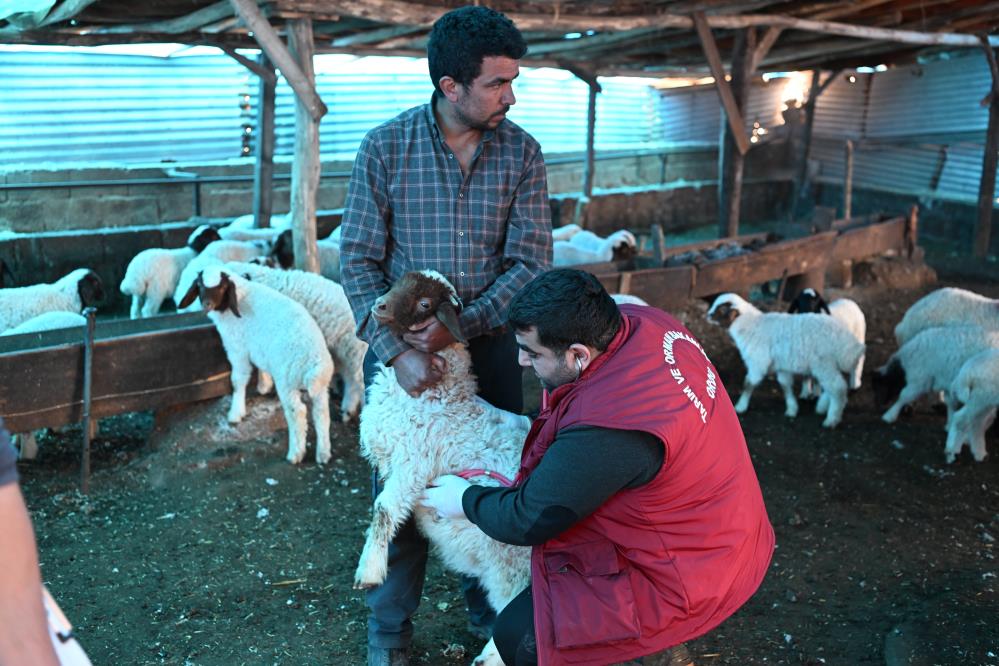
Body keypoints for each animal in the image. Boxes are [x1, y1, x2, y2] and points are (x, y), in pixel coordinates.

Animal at [178, 264, 334, 462]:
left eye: (222, 287)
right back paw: (323, 454)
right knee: (322, 413)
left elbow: (238, 380)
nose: (207, 305)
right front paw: (264, 385)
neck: (234, 302)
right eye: (199, 285)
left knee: (297, 412)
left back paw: (295, 454)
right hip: (320, 386)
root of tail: (315, 362)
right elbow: (260, 365)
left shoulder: (237, 349)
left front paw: (235, 413)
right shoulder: (257, 347)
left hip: (287, 381)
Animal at [225, 260, 370, 420]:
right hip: (345, 351)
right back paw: (347, 410)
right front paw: (264, 385)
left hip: (355, 352)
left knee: (359, 381)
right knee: (350, 379)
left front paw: (263, 385)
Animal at [708, 292, 864, 428]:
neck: (749, 324)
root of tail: (845, 339)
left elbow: (748, 384)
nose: (708, 315)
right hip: (829, 364)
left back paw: (832, 419)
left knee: (838, 388)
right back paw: (823, 407)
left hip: (824, 364)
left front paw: (740, 406)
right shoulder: (782, 366)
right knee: (833, 386)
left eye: (722, 309)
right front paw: (792, 409)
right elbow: (785, 385)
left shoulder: (758, 362)